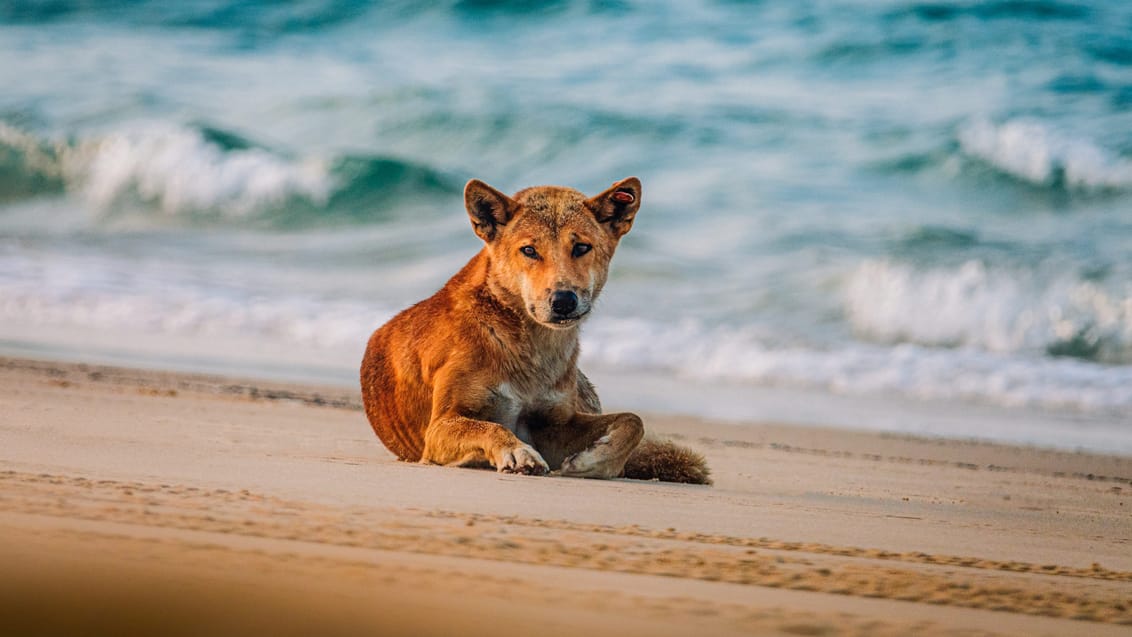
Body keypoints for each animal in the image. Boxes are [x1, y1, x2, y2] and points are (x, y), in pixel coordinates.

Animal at [362, 174, 710, 484]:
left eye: (581, 248)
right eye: (529, 250)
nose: (564, 300)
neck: (529, 346)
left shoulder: (556, 424)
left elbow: (632, 421)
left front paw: (591, 462)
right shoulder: (440, 426)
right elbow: (490, 427)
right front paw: (518, 452)